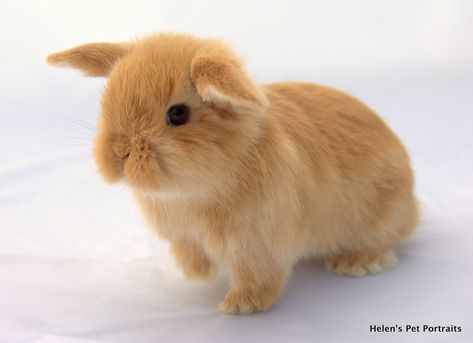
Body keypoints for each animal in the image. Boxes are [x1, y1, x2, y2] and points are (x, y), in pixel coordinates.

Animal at [48, 33, 416, 316]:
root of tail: (413, 202)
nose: (118, 153)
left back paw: (356, 263)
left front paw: (241, 306)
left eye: (177, 114)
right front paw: (198, 275)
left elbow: (259, 276)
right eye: (107, 101)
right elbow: (190, 252)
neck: (191, 192)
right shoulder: (183, 235)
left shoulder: (257, 244)